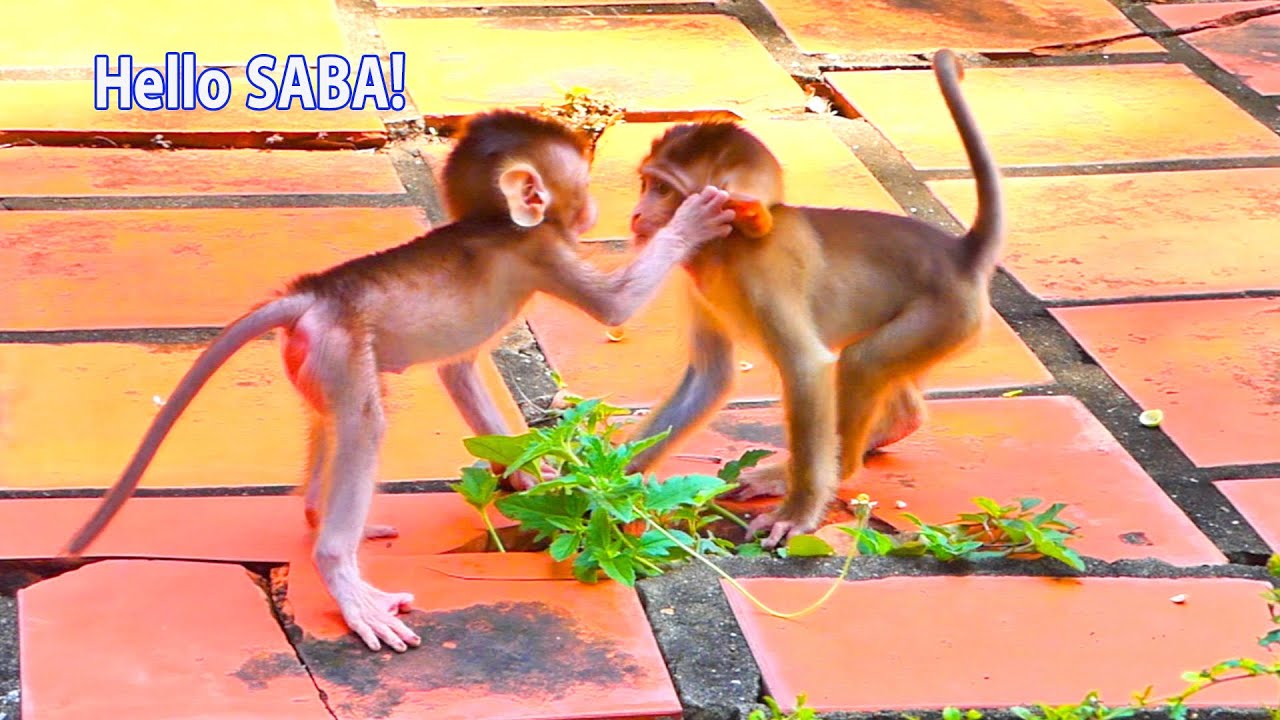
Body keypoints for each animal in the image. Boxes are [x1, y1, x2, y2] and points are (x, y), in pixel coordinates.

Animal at [64, 109, 735, 652]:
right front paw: (693, 221)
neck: (495, 219)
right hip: (340, 347)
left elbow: (459, 372)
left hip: (315, 357)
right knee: (363, 423)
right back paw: (342, 569)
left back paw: (322, 513)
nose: (599, 208)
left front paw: (533, 475)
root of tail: (314, 295)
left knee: (332, 421)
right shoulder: (541, 250)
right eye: (583, 186)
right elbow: (616, 309)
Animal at [624, 49, 1003, 548]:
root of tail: (962, 254)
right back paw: (894, 424)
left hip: (946, 317)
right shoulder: (698, 284)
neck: (727, 247)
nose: (636, 214)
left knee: (862, 363)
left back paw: (829, 467)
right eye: (646, 184)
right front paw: (611, 476)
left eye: (664, 189)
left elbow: (807, 367)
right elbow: (710, 376)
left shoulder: (763, 273)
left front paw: (797, 514)